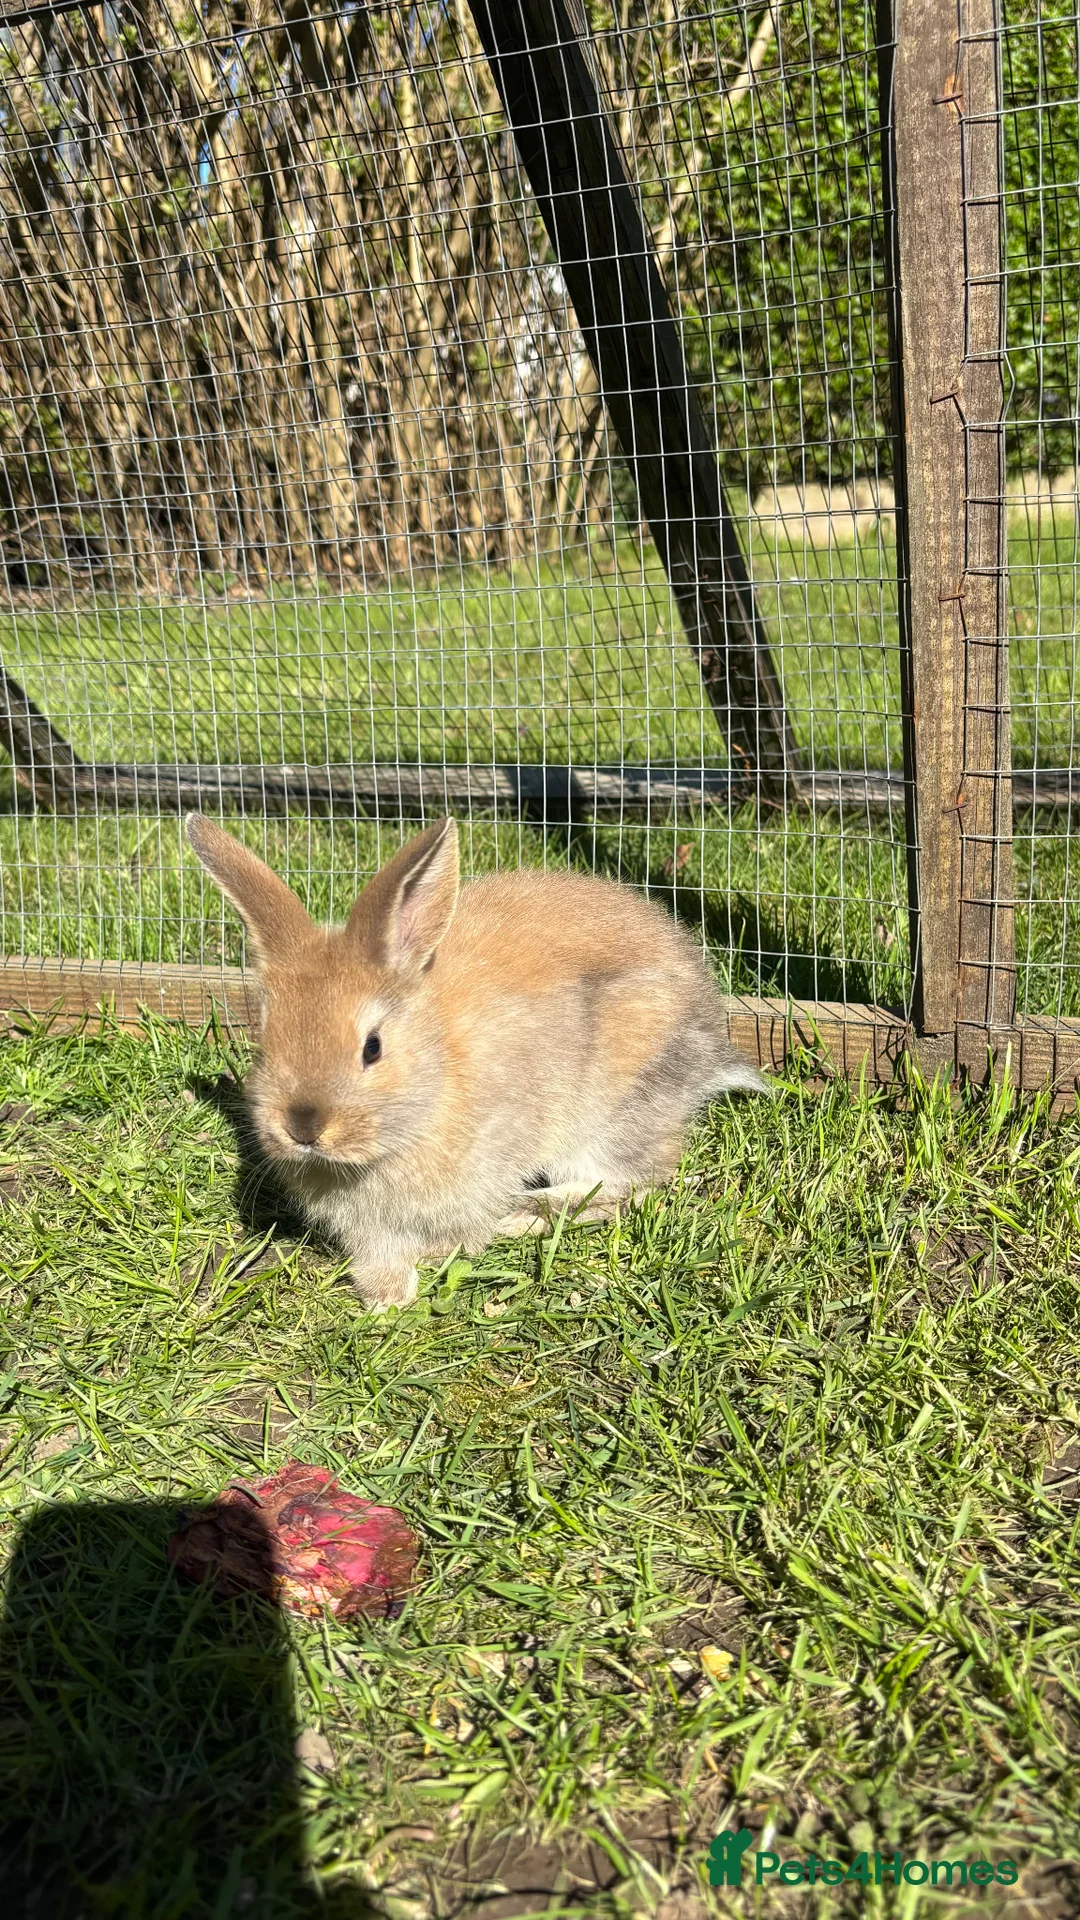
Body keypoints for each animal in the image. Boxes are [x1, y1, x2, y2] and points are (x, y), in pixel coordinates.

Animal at [186, 813, 765, 1310]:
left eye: (372, 1047)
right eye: (265, 1038)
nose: (303, 1128)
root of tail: (709, 1044)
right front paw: (385, 1297)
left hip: (610, 1106)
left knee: (627, 1186)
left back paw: (526, 1214)